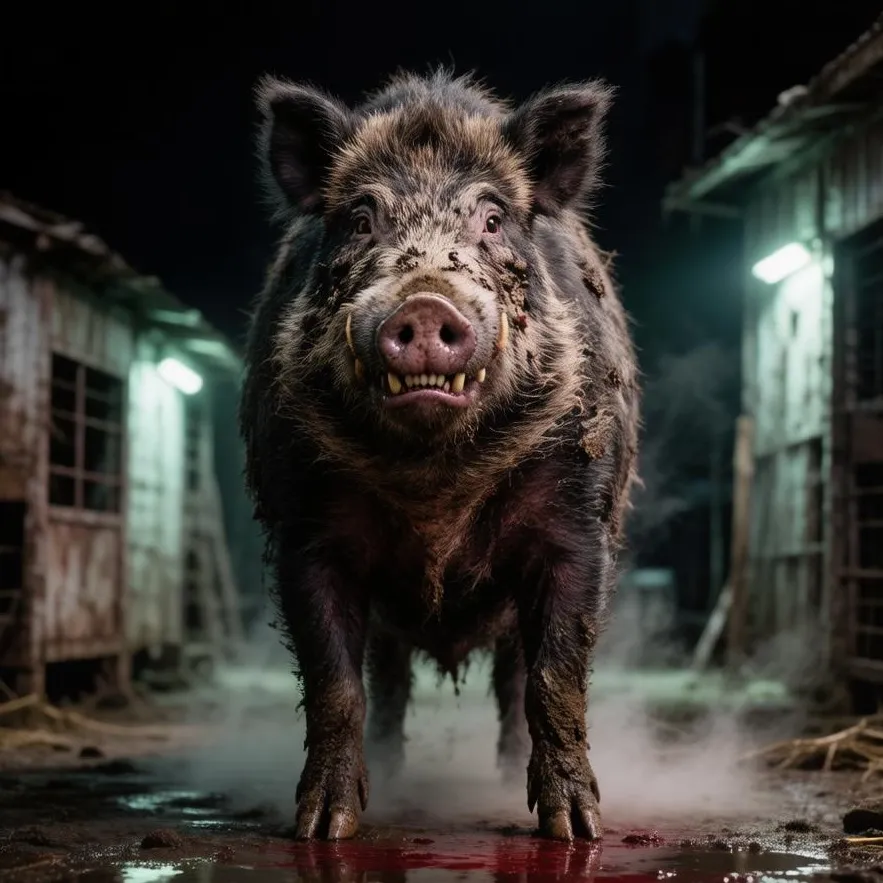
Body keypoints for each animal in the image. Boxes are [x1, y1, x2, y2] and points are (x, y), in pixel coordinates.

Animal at [239, 68, 640, 843]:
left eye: (492, 219)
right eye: (360, 219)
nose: (425, 306)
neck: (435, 486)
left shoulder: (578, 525)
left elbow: (554, 679)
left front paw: (576, 831)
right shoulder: (304, 532)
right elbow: (335, 682)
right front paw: (322, 830)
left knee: (513, 682)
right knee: (388, 684)